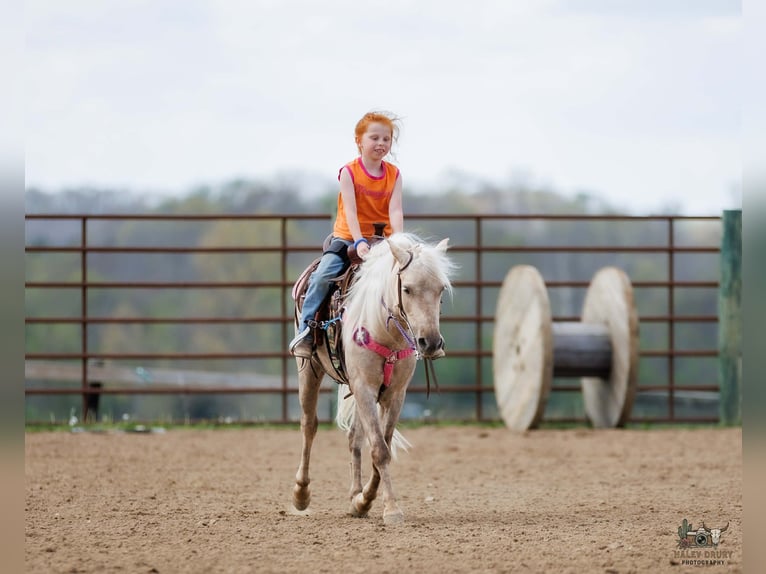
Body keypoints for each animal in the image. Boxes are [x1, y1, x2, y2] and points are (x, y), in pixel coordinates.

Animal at [291, 232, 454, 525]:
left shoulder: (395, 395)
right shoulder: (365, 388)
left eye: (440, 290)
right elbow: (379, 449)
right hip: (308, 371)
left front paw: (364, 500)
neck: (385, 330)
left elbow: (382, 445)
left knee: (354, 438)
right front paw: (392, 509)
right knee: (309, 426)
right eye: (407, 289)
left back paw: (355, 496)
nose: (432, 342)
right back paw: (301, 494)